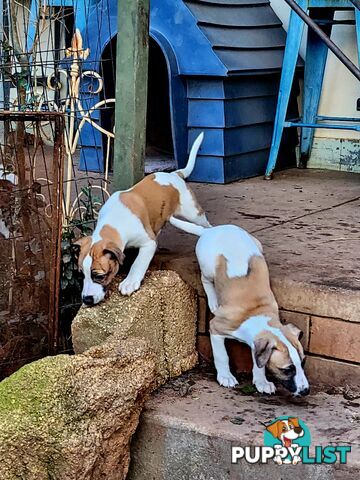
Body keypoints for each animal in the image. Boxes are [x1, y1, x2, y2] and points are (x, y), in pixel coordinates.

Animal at [75, 132, 211, 304]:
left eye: (99, 276)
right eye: (81, 274)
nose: (86, 300)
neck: (113, 221)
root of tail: (175, 174)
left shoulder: (148, 242)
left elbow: (139, 263)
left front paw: (130, 282)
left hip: (193, 212)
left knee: (205, 224)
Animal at [169, 218, 310, 398]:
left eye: (303, 363)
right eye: (287, 369)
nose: (306, 391)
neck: (256, 313)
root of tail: (210, 230)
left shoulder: (257, 344)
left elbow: (258, 362)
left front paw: (261, 382)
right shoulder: (216, 328)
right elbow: (221, 355)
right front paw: (225, 376)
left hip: (257, 244)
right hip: (207, 267)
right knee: (205, 278)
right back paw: (213, 301)